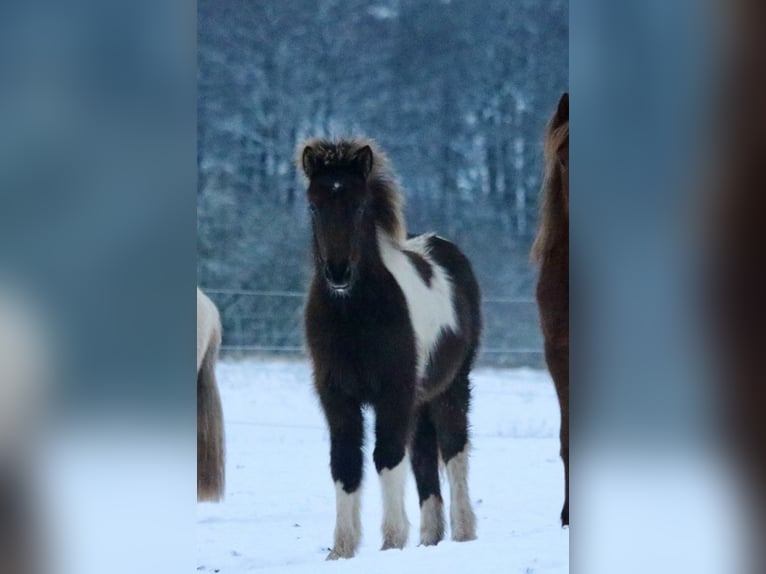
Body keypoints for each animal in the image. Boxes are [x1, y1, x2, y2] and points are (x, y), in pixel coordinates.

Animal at [298, 137, 482, 559]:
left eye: (360, 205)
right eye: (314, 205)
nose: (338, 273)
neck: (355, 317)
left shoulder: (393, 393)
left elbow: (386, 457)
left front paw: (392, 541)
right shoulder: (337, 397)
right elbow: (346, 464)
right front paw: (341, 550)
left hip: (452, 387)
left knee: (454, 451)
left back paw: (464, 533)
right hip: (421, 400)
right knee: (425, 459)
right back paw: (430, 538)